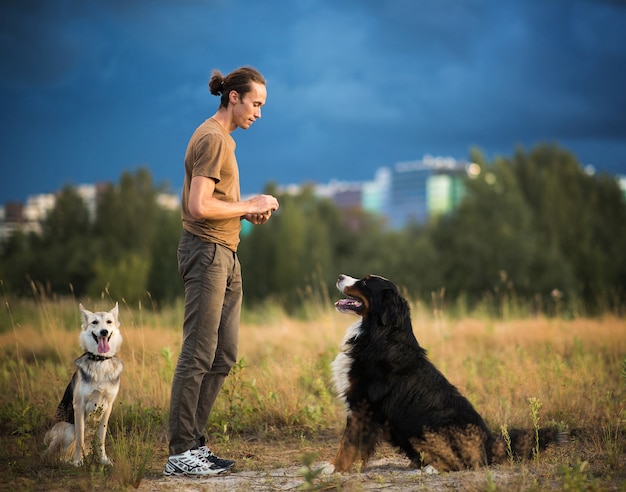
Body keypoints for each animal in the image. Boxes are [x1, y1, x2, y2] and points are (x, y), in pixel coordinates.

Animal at [44, 302, 123, 468]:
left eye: (109, 322)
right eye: (94, 322)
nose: (104, 332)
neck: (100, 361)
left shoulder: (108, 407)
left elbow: (101, 438)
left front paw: (103, 460)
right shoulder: (79, 406)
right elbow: (80, 438)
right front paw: (78, 461)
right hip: (67, 429)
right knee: (51, 454)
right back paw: (65, 460)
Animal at [330, 272, 564, 472]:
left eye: (365, 282)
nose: (339, 276)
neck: (378, 333)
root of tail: (490, 443)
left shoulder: (364, 406)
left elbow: (348, 444)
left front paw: (334, 470)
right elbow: (346, 444)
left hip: (439, 422)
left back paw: (432, 468)